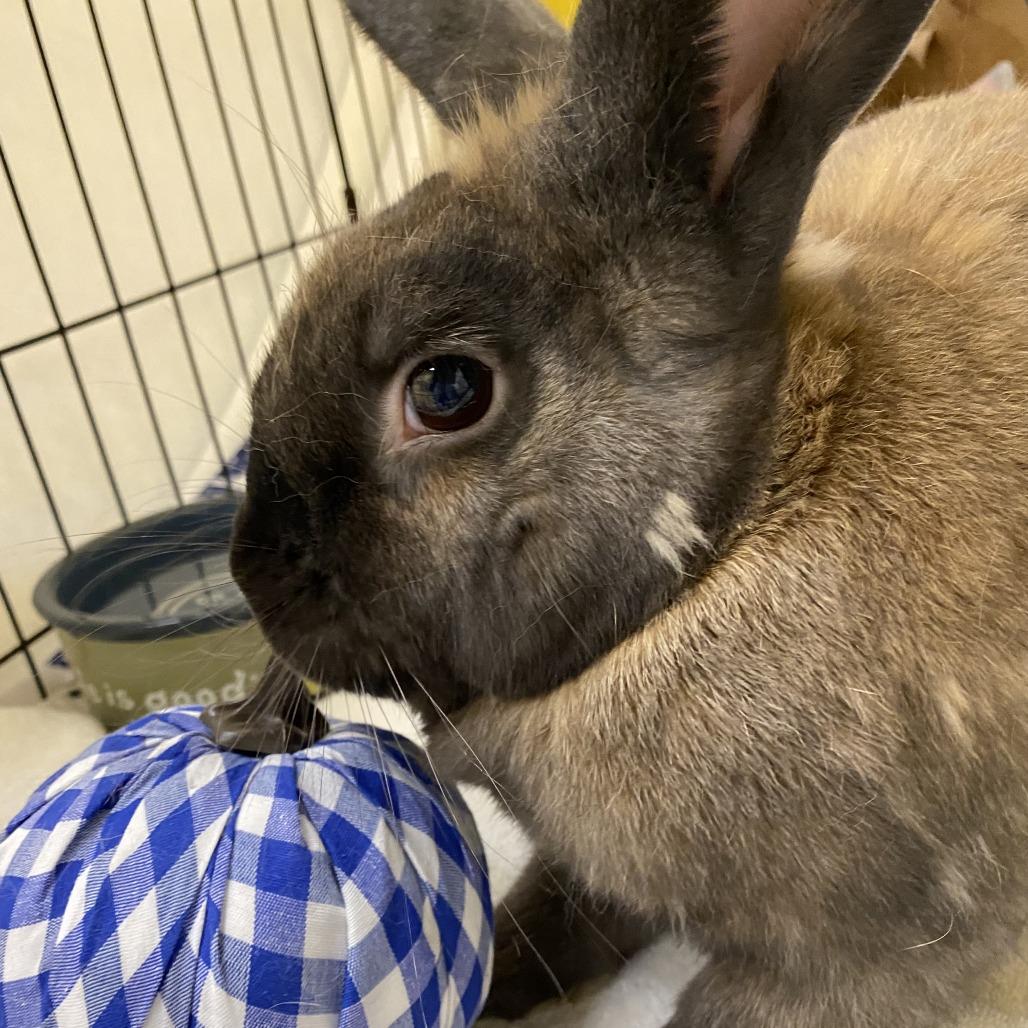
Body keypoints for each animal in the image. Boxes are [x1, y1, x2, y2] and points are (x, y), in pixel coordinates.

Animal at [229, 0, 1028, 1023]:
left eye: (447, 389)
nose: (256, 580)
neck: (730, 538)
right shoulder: (588, 878)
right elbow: (544, 922)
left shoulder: (874, 964)